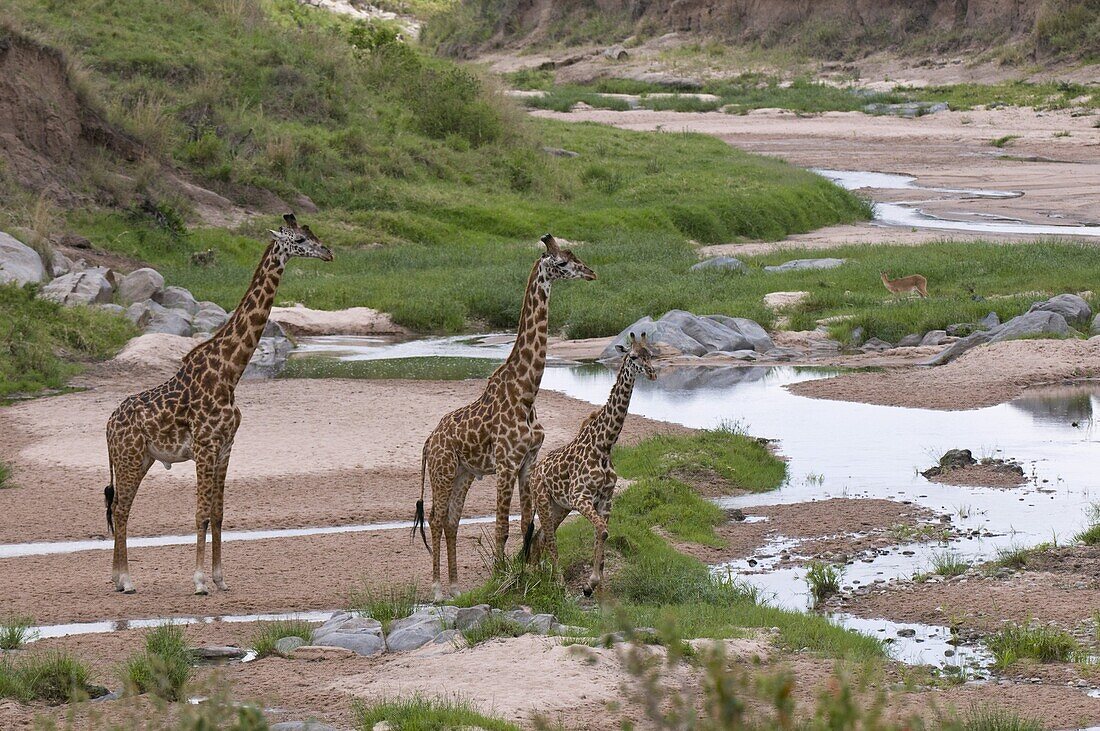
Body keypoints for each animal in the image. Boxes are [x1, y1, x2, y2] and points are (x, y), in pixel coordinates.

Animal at [105, 212, 332, 593]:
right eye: (299, 240)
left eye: (312, 234)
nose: (328, 252)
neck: (229, 372)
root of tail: (107, 425)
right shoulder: (205, 446)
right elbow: (200, 513)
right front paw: (199, 582)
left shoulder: (226, 447)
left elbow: (218, 514)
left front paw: (220, 579)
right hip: (129, 456)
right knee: (121, 509)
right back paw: (126, 581)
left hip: (143, 458)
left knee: (120, 508)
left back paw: (119, 578)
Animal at [413, 234, 598, 597]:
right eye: (563, 262)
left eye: (576, 257)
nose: (591, 273)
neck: (527, 391)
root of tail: (429, 440)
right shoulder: (506, 462)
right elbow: (502, 526)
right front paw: (499, 576)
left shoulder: (528, 462)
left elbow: (525, 522)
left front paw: (526, 572)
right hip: (443, 470)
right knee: (436, 518)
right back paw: (438, 588)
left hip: (464, 474)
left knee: (452, 520)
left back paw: (456, 587)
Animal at [521, 329, 651, 593]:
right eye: (633, 356)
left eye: (651, 354)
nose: (652, 372)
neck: (604, 445)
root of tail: (535, 472)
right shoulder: (580, 497)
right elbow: (601, 531)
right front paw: (590, 583)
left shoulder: (606, 499)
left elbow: (601, 533)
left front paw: (597, 584)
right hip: (545, 501)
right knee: (548, 537)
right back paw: (558, 581)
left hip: (559, 506)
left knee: (540, 537)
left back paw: (537, 575)